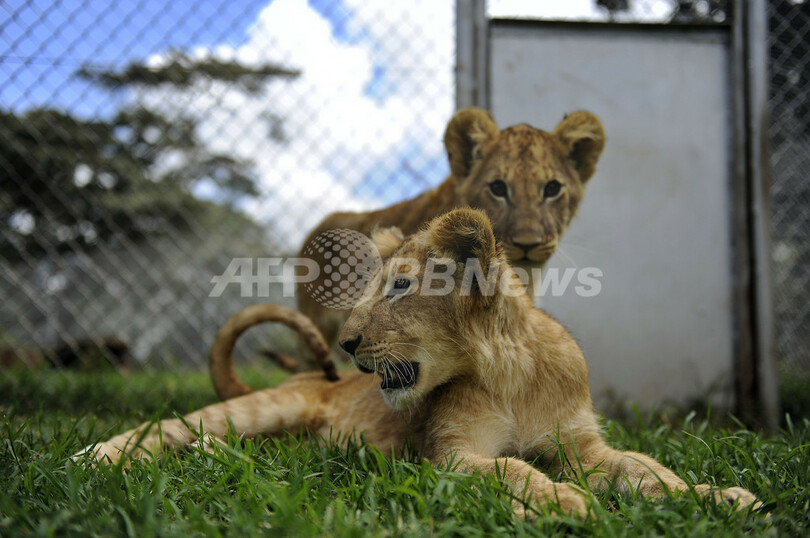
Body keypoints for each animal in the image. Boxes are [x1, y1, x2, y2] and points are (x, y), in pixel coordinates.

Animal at [77, 209, 758, 519]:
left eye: (400, 288)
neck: (511, 373)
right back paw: (91, 458)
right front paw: (567, 505)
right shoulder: (452, 454)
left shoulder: (583, 446)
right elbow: (514, 469)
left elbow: (646, 468)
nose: (348, 344)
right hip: (263, 406)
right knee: (165, 429)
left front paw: (719, 496)